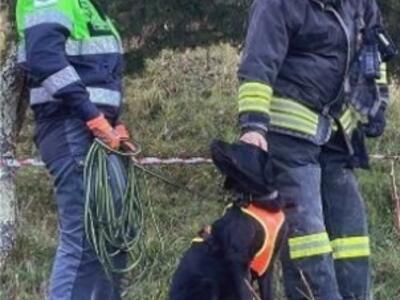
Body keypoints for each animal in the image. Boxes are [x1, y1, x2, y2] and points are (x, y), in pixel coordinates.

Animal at [169, 141, 288, 300]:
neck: (259, 201)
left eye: (240, 145)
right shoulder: (239, 260)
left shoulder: (267, 267)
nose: (214, 140)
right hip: (207, 285)